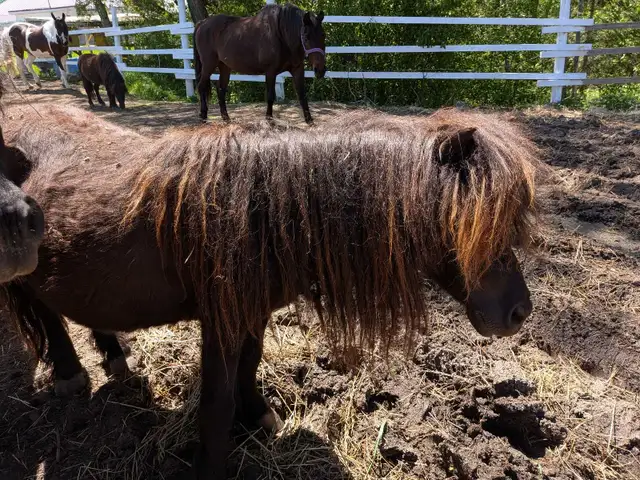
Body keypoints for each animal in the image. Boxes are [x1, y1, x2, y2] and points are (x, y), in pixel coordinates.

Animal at [1, 104, 544, 479]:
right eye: (475, 225)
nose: (520, 312)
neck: (262, 211)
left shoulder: (253, 313)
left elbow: (251, 363)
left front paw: (258, 417)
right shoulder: (220, 322)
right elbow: (215, 405)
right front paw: (214, 462)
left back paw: (114, 355)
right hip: (24, 273)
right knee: (46, 315)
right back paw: (69, 374)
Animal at [194, 3, 326, 124]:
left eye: (323, 35)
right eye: (306, 36)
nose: (320, 70)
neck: (281, 35)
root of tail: (202, 23)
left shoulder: (297, 69)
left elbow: (302, 94)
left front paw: (309, 120)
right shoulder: (271, 71)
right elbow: (270, 96)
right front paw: (269, 119)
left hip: (225, 66)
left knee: (221, 90)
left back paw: (226, 118)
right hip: (208, 65)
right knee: (201, 86)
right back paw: (203, 116)